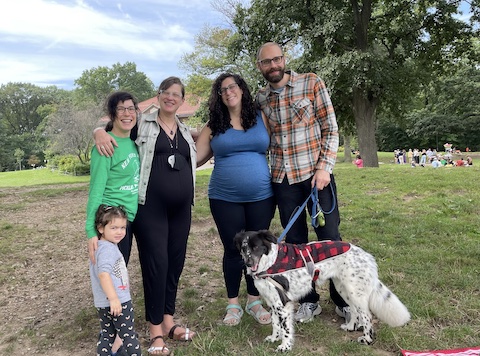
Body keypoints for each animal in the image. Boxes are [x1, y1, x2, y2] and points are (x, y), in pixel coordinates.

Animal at [234, 229, 410, 352]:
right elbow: (276, 325)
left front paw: (285, 346)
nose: (248, 263)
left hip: (355, 292)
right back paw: (350, 327)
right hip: (343, 289)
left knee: (366, 316)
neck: (269, 263)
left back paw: (366, 339)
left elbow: (286, 329)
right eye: (243, 248)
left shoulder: (282, 304)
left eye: (256, 247)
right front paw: (273, 338)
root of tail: (366, 256)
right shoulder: (272, 302)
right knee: (354, 310)